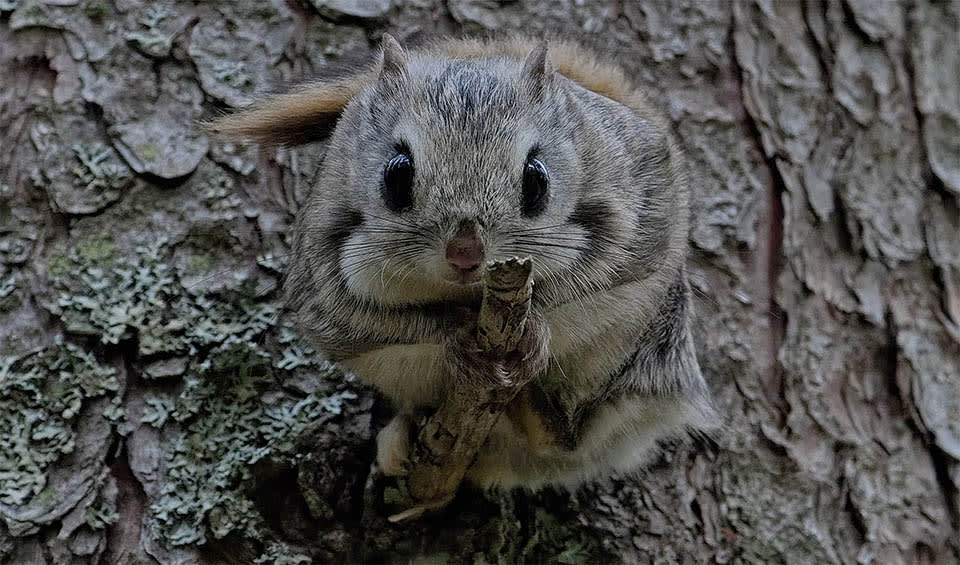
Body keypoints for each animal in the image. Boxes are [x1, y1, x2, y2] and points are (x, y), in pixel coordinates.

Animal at [209, 34, 715, 489]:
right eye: (396, 174)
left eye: (537, 179)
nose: (466, 254)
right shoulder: (323, 283)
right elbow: (379, 324)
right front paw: (457, 338)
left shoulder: (639, 222)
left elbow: (587, 286)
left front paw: (534, 333)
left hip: (646, 359)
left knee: (566, 437)